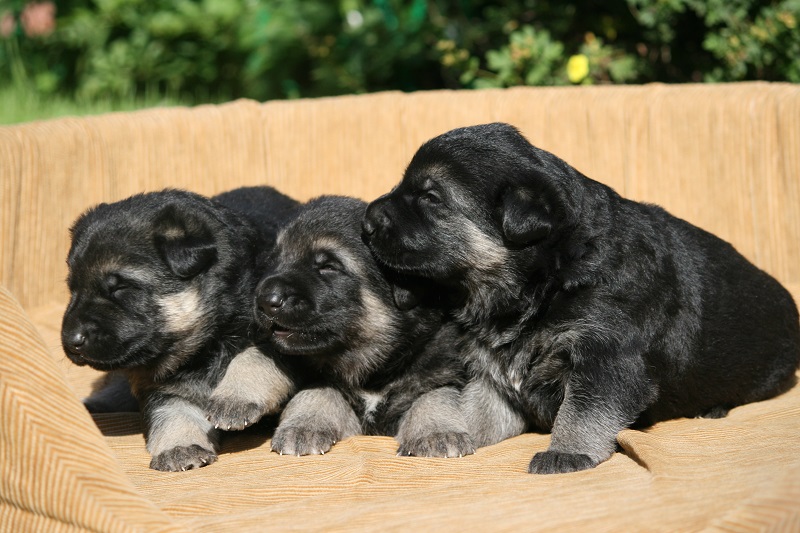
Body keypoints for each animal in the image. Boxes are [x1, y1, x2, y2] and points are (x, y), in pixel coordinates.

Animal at [61, 187, 300, 470]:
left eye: (120, 288)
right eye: (73, 289)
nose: (71, 340)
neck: (202, 344)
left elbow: (251, 357)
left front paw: (234, 399)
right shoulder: (157, 383)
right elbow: (171, 411)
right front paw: (180, 446)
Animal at [253, 195, 472, 458]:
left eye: (328, 267)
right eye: (274, 261)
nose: (264, 300)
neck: (374, 369)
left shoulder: (446, 370)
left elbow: (436, 394)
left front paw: (436, 431)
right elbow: (319, 389)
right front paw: (304, 423)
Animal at [362, 123, 800, 474]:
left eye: (431, 197)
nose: (366, 221)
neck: (548, 279)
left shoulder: (606, 358)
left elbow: (583, 410)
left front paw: (568, 453)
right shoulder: (494, 376)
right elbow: (475, 411)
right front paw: (442, 432)